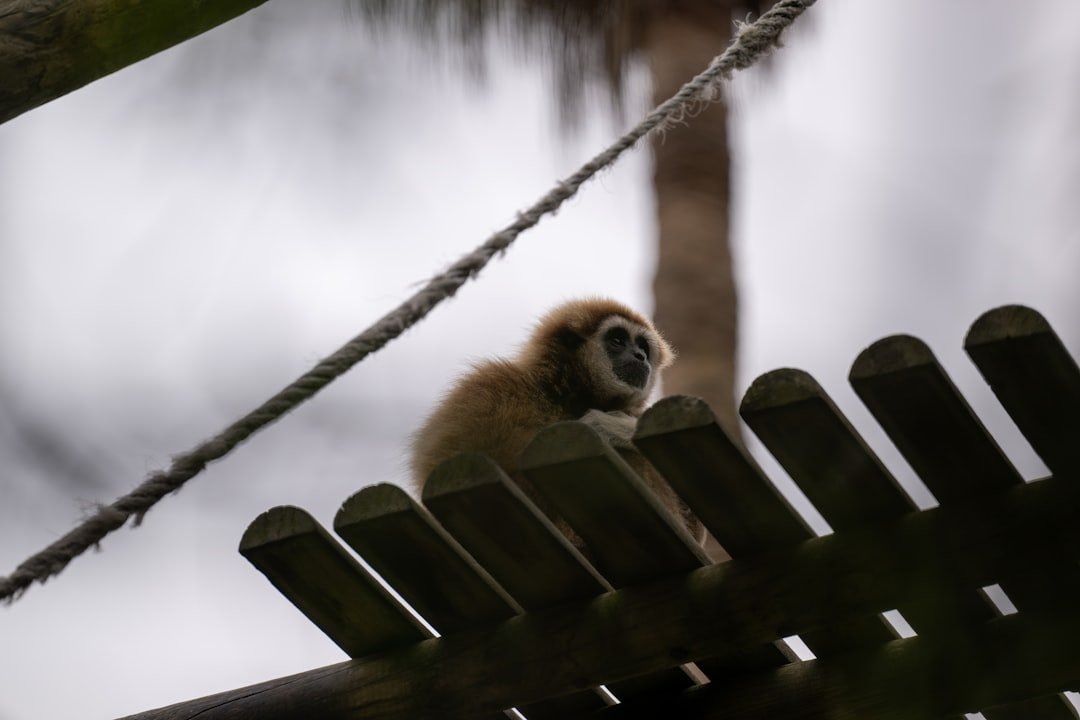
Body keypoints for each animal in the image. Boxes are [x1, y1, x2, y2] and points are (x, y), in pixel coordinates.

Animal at [410, 297, 705, 549]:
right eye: (618, 340)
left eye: (643, 346)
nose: (640, 356)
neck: (571, 394)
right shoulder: (488, 386)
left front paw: (618, 429)